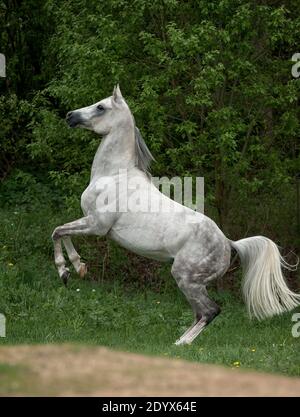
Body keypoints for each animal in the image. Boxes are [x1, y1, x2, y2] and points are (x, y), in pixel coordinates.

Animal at [52, 84, 300, 344]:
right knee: (200, 313)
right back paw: (179, 341)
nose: (70, 116)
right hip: (192, 282)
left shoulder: (97, 226)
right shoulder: (91, 224)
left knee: (211, 311)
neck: (113, 175)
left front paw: (66, 271)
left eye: (101, 107)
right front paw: (77, 268)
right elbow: (62, 232)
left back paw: (182, 344)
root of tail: (229, 243)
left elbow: (57, 231)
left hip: (186, 277)